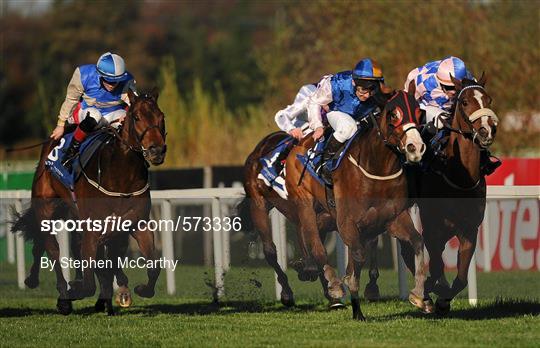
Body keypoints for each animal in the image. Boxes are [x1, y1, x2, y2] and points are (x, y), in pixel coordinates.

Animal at [11, 89, 166, 316]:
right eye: (137, 117)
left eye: (161, 118)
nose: (157, 150)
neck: (121, 176)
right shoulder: (93, 227)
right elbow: (89, 280)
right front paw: (75, 289)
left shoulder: (139, 223)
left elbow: (153, 267)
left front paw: (139, 289)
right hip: (46, 208)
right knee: (53, 250)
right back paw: (63, 295)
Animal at [286, 90, 430, 320]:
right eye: (393, 115)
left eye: (418, 113)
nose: (415, 148)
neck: (376, 168)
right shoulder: (347, 222)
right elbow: (358, 257)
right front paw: (355, 304)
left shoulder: (393, 217)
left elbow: (417, 241)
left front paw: (418, 296)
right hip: (305, 202)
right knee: (315, 242)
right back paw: (332, 284)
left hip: (327, 215)